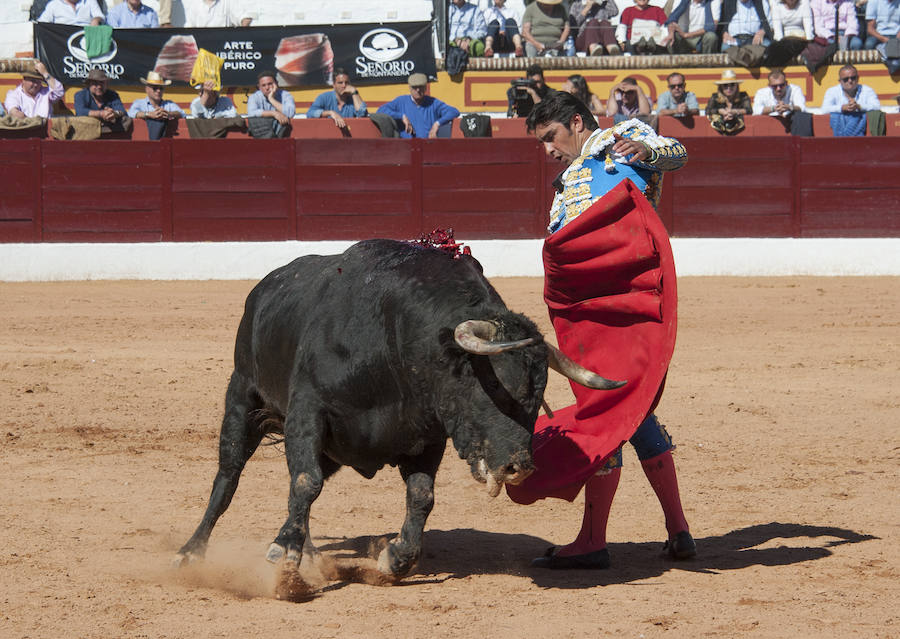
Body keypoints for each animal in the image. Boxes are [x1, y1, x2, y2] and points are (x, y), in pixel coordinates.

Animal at [173, 241, 624, 596]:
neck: (396, 344)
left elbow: (421, 496)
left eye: (538, 396)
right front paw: (284, 560)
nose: (519, 467)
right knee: (228, 477)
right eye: (494, 388)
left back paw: (312, 553)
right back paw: (191, 552)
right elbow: (304, 483)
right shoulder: (308, 411)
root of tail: (264, 287)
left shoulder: (428, 437)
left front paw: (393, 559)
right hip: (241, 396)